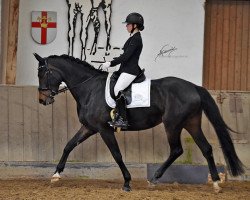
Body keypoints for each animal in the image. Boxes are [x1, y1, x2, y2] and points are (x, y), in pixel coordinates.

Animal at [33, 52, 244, 192]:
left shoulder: (103, 129)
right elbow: (69, 145)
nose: (42, 100)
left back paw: (154, 179)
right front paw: (56, 175)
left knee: (176, 150)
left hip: (172, 124)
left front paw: (127, 182)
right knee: (206, 148)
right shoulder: (89, 127)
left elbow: (117, 154)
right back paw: (215, 183)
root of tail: (193, 87)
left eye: (43, 73)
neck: (89, 88)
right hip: (191, 123)